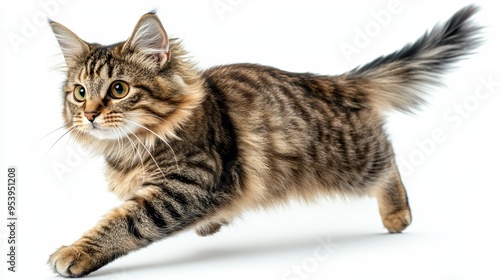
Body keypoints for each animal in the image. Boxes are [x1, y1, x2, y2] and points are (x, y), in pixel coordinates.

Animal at [47, 4, 480, 278]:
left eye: (119, 89)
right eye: (80, 93)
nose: (90, 115)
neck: (129, 147)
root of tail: (337, 81)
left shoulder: (184, 187)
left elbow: (125, 223)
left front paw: (75, 252)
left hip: (354, 160)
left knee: (388, 159)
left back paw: (397, 214)